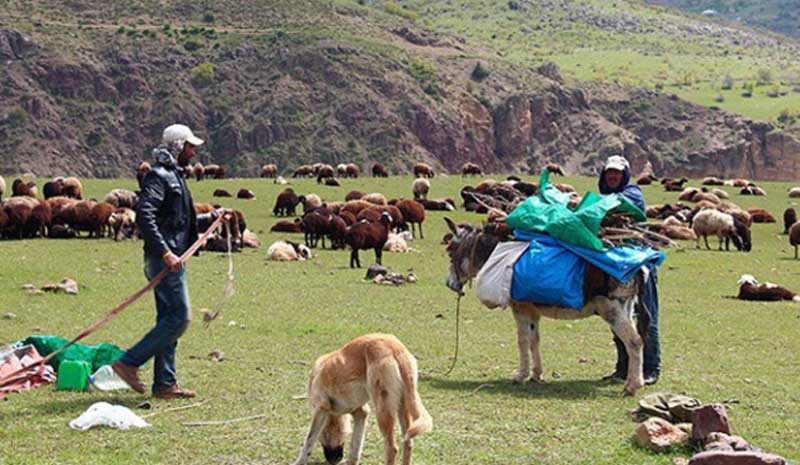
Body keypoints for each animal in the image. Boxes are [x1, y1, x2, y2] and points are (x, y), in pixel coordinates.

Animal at [292, 334, 432, 464]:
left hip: (383, 410)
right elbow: (356, 446)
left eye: (324, 435)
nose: (336, 460)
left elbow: (309, 440)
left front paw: (299, 461)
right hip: (403, 407)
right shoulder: (361, 412)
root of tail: (395, 348)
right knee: (408, 443)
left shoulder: (321, 409)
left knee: (392, 448)